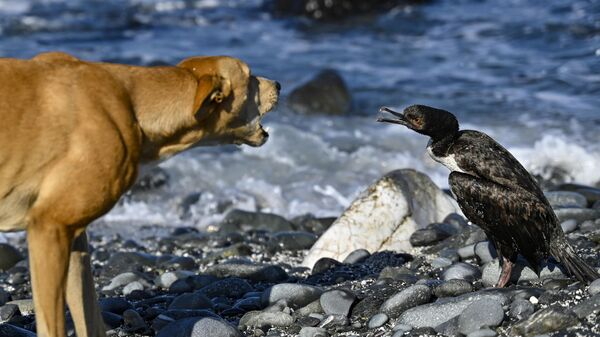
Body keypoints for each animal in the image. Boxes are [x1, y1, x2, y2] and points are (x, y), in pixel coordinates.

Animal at [0, 51, 280, 334]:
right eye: (249, 75)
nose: (279, 85)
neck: (133, 104)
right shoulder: (49, 228)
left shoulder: (72, 237)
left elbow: (89, 315)